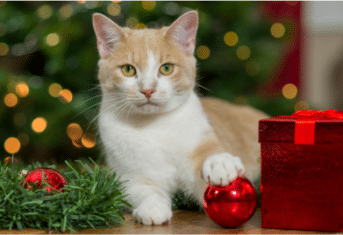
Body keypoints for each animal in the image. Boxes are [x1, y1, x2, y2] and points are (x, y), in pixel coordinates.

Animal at [92, 10, 268, 225]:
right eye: (128, 69)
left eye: (166, 68)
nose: (148, 89)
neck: (154, 126)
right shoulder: (129, 177)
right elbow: (143, 189)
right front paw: (152, 207)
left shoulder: (200, 137)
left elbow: (209, 154)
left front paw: (219, 163)